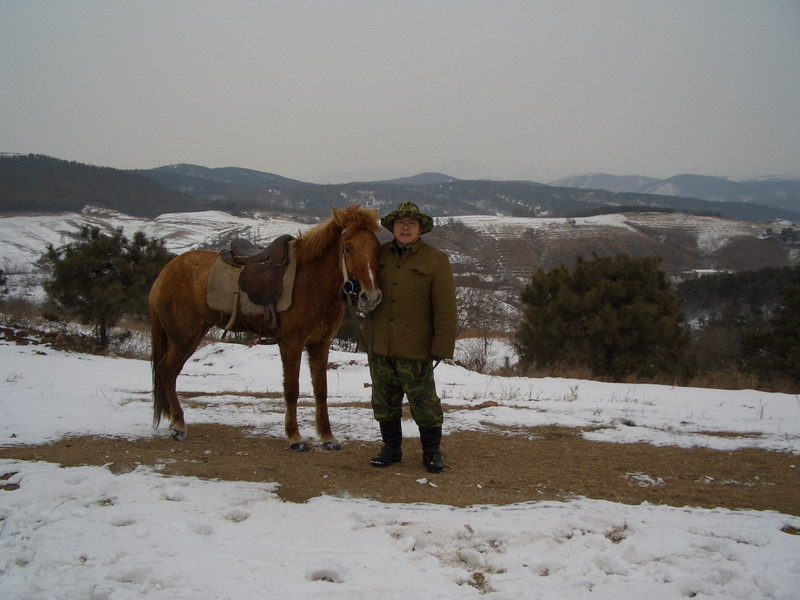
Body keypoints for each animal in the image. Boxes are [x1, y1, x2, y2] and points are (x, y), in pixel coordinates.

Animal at [148, 205, 382, 450]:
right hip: (183, 336)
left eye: (376, 248)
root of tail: (166, 272)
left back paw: (174, 420)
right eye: (348, 247)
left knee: (170, 371)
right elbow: (292, 390)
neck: (311, 281)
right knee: (167, 370)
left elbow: (321, 390)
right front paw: (295, 438)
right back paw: (179, 425)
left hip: (191, 335)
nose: (370, 297)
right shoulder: (291, 343)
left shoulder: (320, 344)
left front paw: (328, 437)